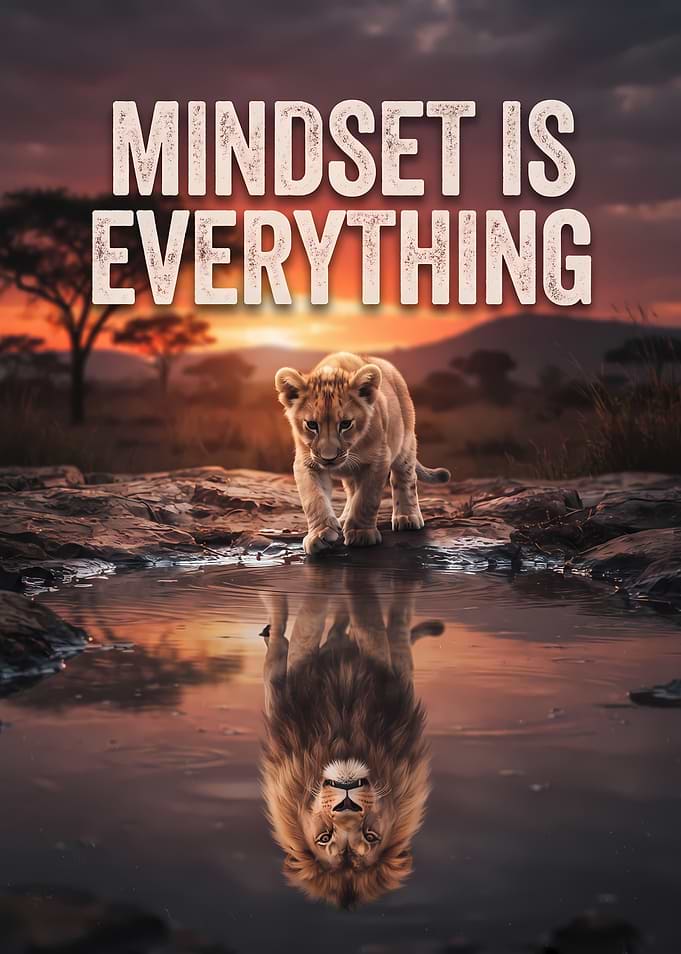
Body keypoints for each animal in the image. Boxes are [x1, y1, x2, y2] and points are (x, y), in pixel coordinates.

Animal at [259, 568, 443, 908]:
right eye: (324, 837)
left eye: (370, 836)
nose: (347, 803)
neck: (344, 732)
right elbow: (303, 626)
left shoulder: (392, 673)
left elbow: (373, 626)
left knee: (392, 624)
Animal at [274, 352, 450, 555]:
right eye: (311, 425)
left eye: (345, 424)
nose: (329, 458)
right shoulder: (306, 462)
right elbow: (314, 499)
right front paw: (320, 534)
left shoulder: (379, 459)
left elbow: (367, 498)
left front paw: (361, 534)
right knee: (352, 491)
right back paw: (343, 519)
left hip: (405, 444)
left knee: (404, 478)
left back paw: (407, 517)